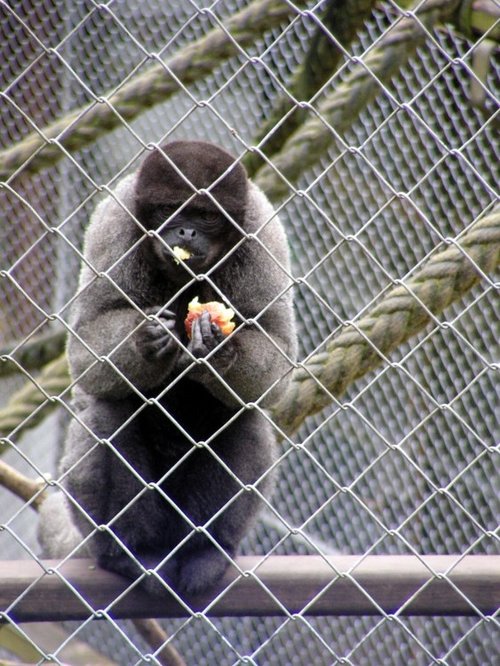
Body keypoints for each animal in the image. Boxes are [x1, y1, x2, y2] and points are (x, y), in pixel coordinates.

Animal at [40, 140, 297, 597]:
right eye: (167, 210)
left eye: (206, 215)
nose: (186, 233)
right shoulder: (114, 223)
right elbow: (85, 352)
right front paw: (146, 342)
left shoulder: (263, 232)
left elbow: (279, 359)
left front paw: (222, 349)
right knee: (107, 414)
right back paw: (129, 553)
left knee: (245, 419)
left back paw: (207, 550)